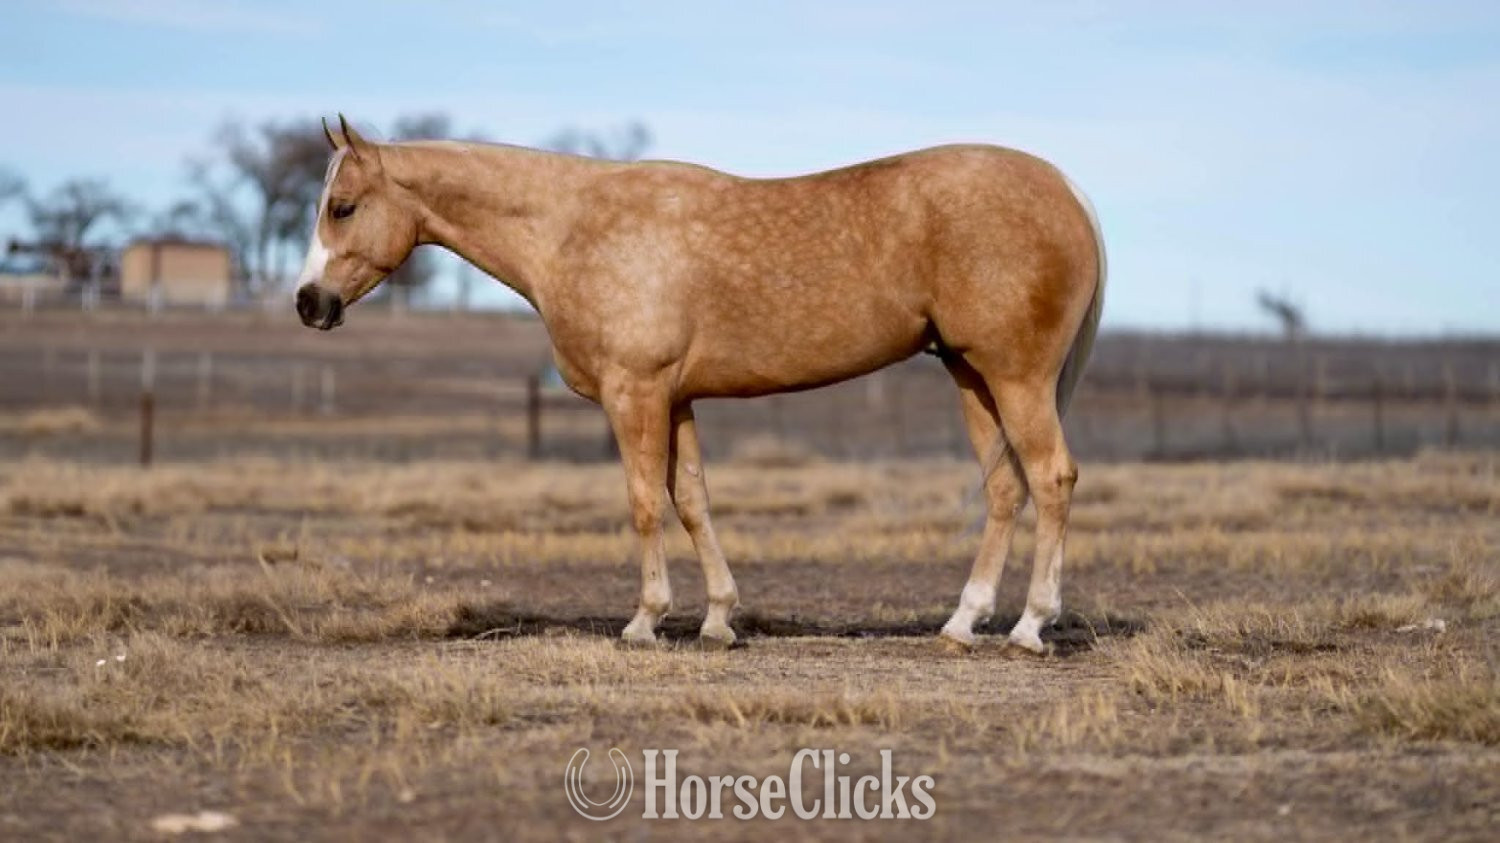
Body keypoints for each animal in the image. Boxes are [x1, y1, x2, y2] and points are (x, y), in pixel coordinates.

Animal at [295, 115, 1105, 653]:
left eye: (343, 207)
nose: (309, 302)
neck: (574, 227)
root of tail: (1067, 189)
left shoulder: (636, 393)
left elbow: (644, 504)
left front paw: (645, 620)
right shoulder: (677, 399)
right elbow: (692, 501)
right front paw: (719, 618)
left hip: (1016, 377)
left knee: (1052, 478)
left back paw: (1031, 625)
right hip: (972, 376)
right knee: (1006, 488)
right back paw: (963, 623)